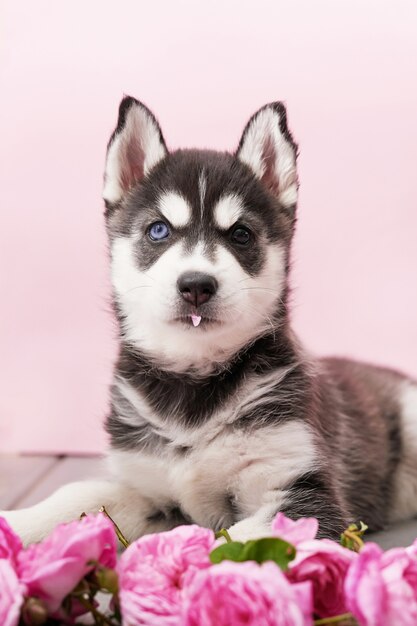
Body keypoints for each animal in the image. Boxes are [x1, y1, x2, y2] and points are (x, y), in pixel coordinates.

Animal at [3, 96, 416, 540]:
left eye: (241, 234)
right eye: (158, 230)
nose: (196, 285)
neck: (194, 382)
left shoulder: (305, 492)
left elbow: (233, 542)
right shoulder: (143, 481)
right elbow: (79, 494)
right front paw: (20, 521)